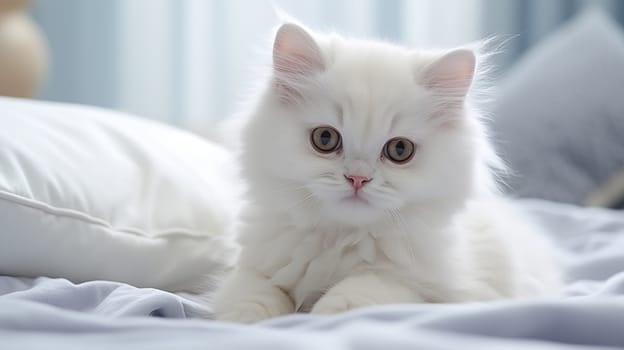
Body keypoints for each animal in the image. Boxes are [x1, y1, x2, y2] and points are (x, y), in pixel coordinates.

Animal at [214, 21, 560, 322]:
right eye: (325, 139)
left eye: (399, 150)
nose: (357, 178)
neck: (342, 239)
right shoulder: (250, 267)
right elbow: (251, 293)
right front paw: (246, 320)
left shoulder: (435, 291)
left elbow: (364, 290)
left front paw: (325, 316)